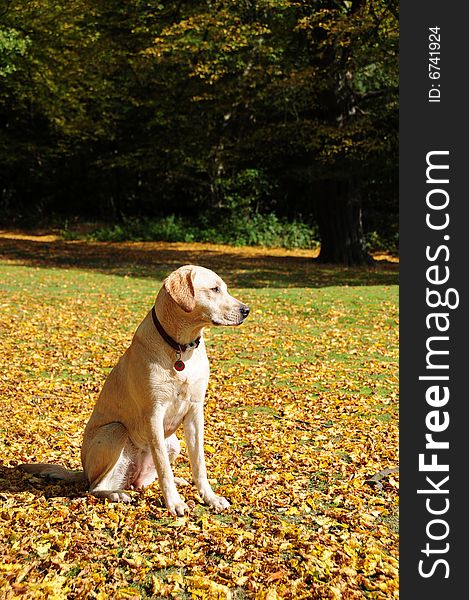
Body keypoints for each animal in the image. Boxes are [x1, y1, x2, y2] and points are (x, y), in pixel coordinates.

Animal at [19, 264, 249, 512]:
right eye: (215, 289)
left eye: (224, 288)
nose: (246, 310)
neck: (180, 347)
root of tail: (84, 471)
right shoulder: (154, 415)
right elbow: (164, 468)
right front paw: (174, 502)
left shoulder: (195, 411)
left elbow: (199, 464)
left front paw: (210, 497)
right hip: (115, 431)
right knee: (95, 487)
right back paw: (117, 494)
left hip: (173, 442)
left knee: (144, 481)